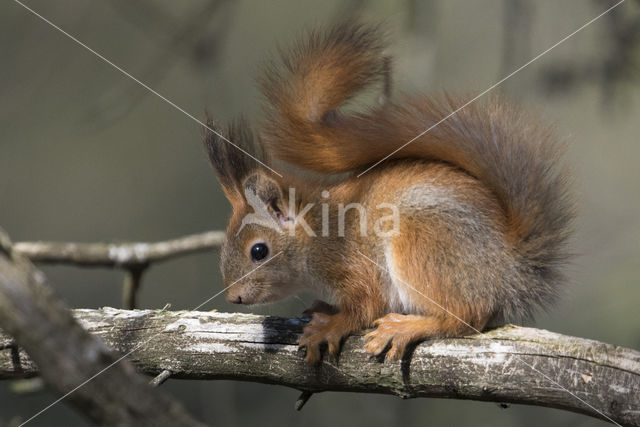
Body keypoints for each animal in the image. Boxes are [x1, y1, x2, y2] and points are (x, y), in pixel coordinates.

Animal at [202, 23, 572, 364]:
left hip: (424, 245)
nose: (233, 297)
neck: (316, 230)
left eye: (259, 251)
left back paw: (408, 327)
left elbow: (366, 306)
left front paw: (330, 326)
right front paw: (324, 309)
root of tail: (508, 270)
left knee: (466, 315)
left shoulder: (351, 263)